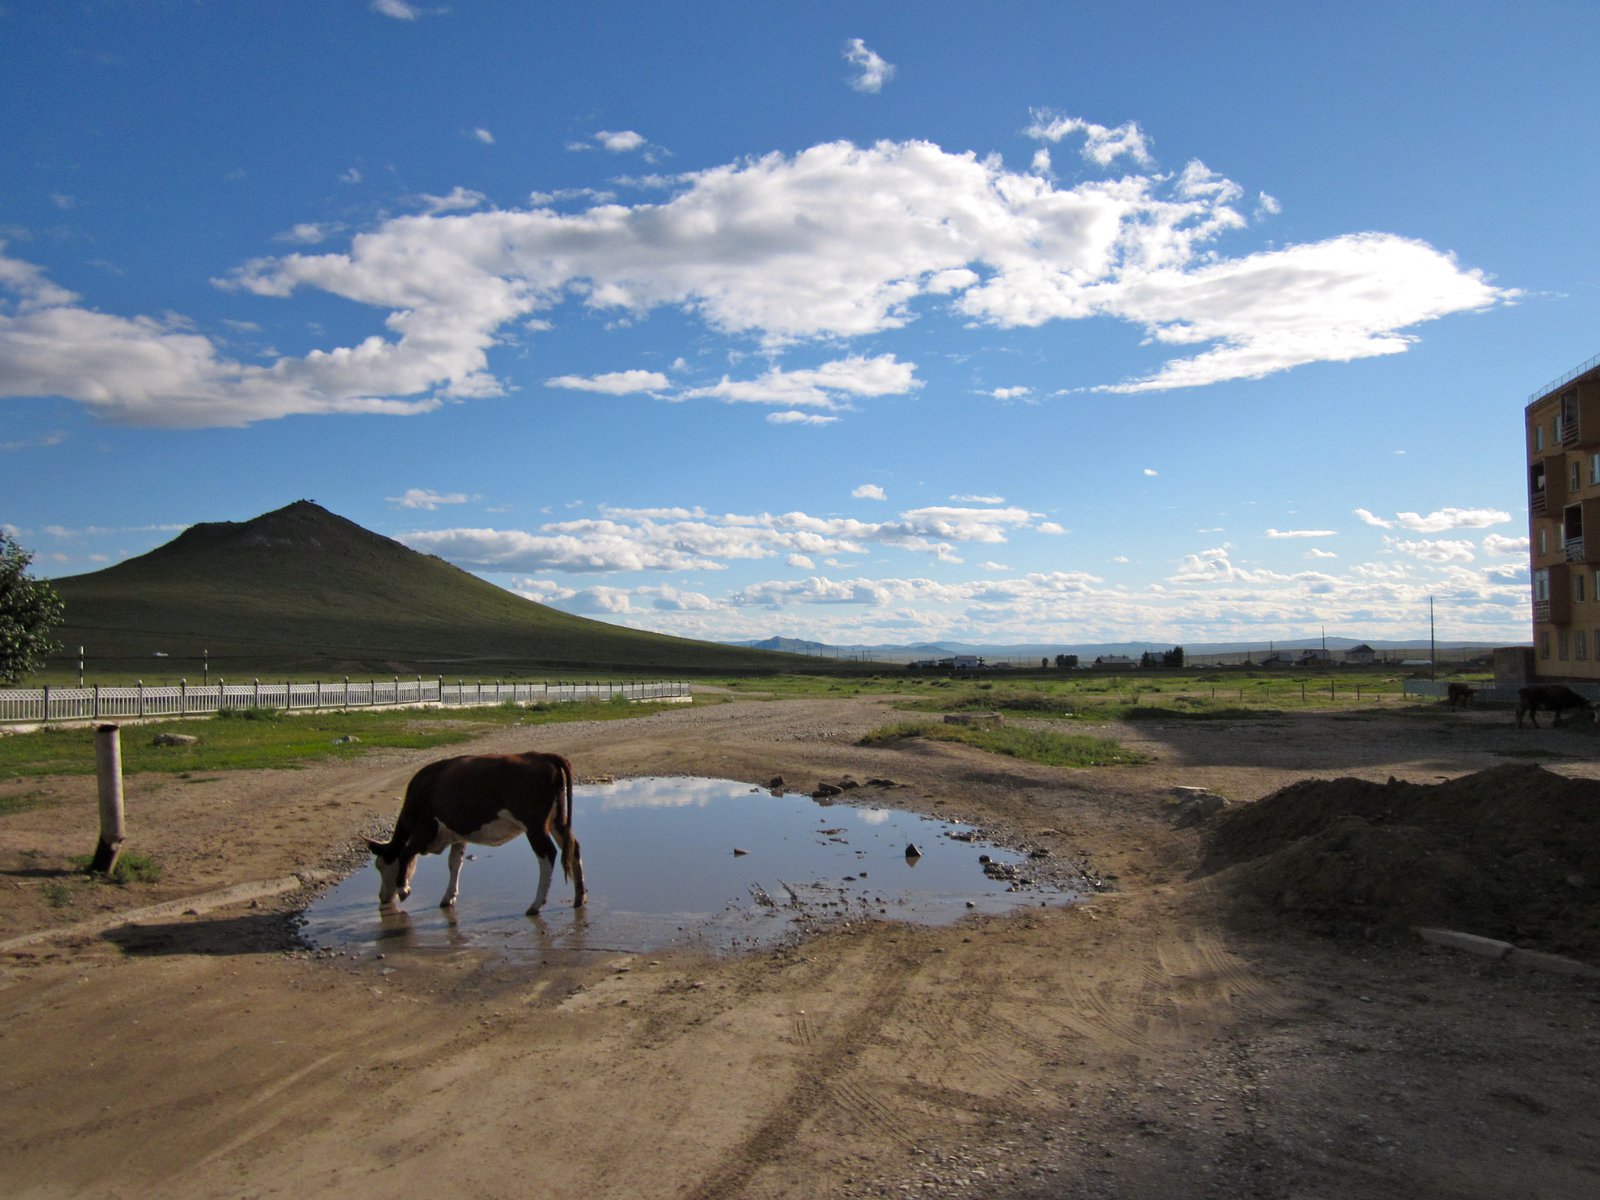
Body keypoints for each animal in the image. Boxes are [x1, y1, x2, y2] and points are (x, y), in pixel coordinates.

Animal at [366, 755, 585, 915]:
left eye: (381, 866)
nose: (382, 897)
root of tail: (543, 756)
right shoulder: (457, 835)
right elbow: (455, 863)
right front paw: (449, 897)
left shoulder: (426, 830)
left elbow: (405, 854)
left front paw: (403, 889)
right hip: (556, 819)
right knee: (573, 846)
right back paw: (579, 897)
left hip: (535, 825)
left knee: (547, 854)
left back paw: (536, 904)